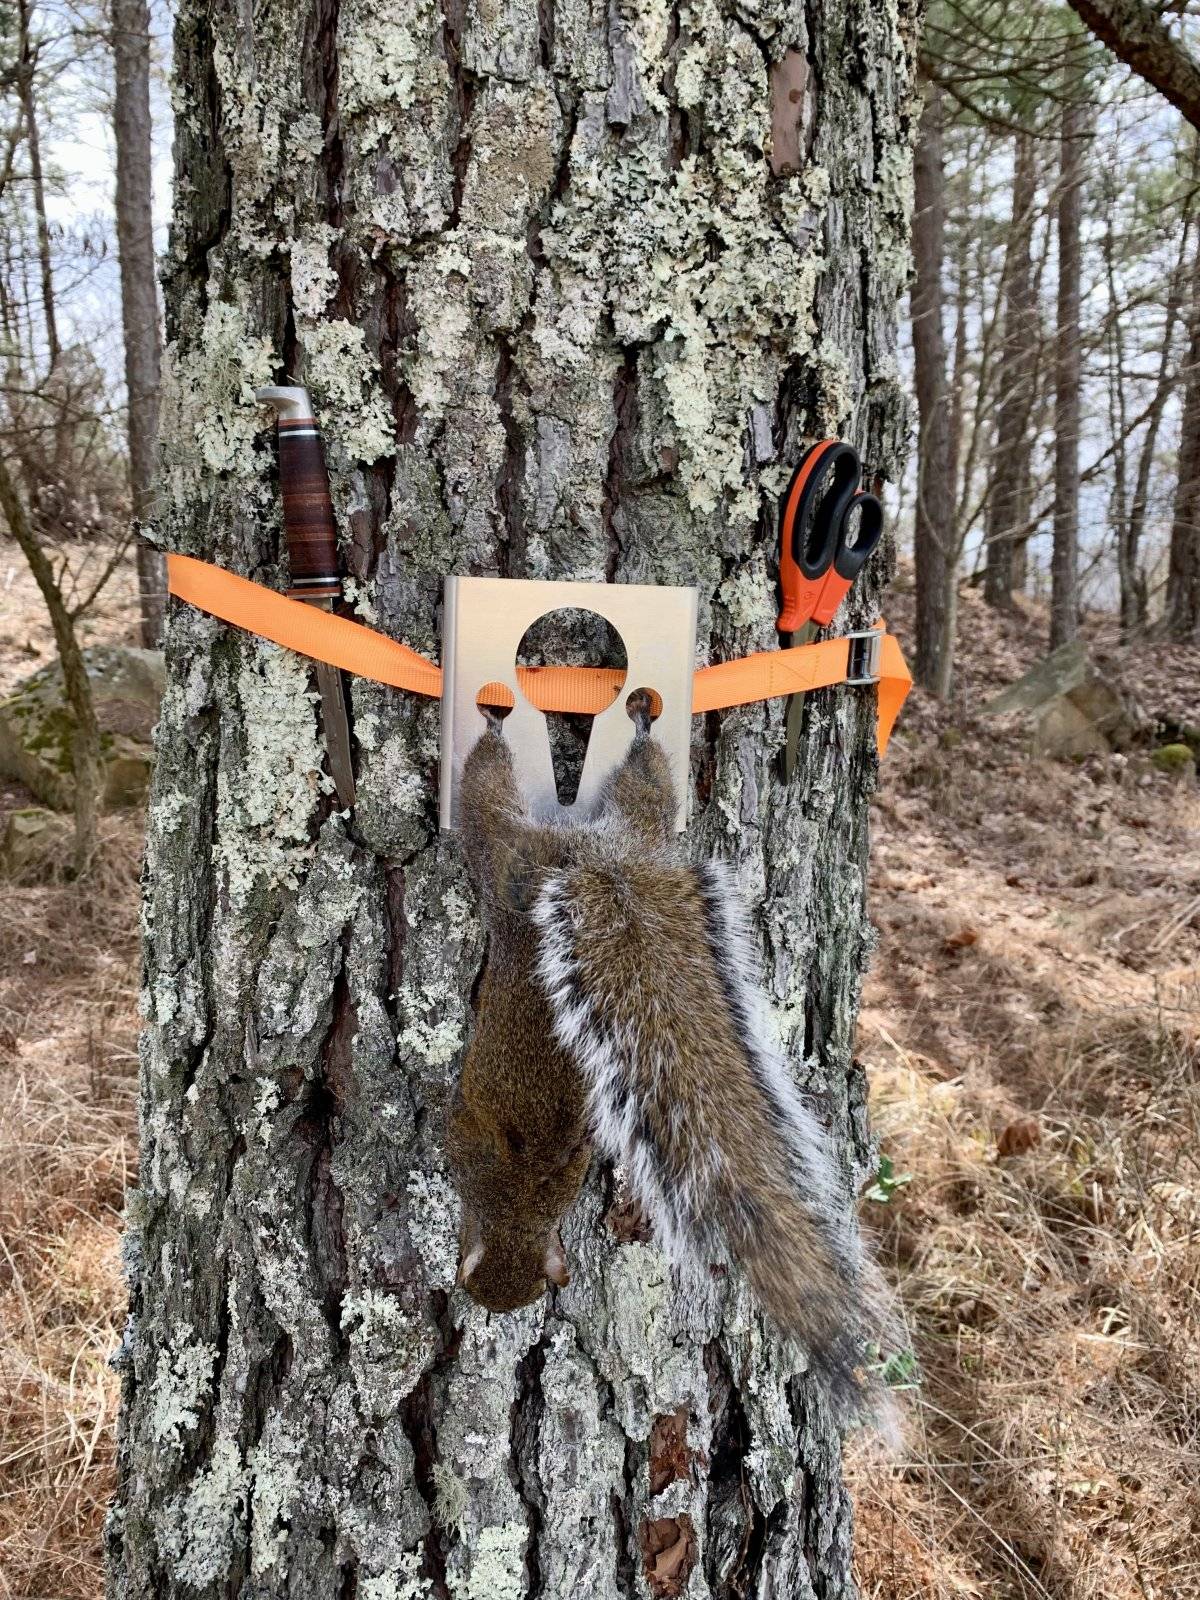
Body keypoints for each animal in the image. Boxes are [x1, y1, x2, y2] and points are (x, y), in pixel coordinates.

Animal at [447, 693, 875, 1411]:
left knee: (487, 790)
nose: (483, 1303)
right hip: (618, 824)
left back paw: (496, 726)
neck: (516, 1206)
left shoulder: (475, 1147)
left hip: (503, 857)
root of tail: (594, 855)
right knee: (647, 782)